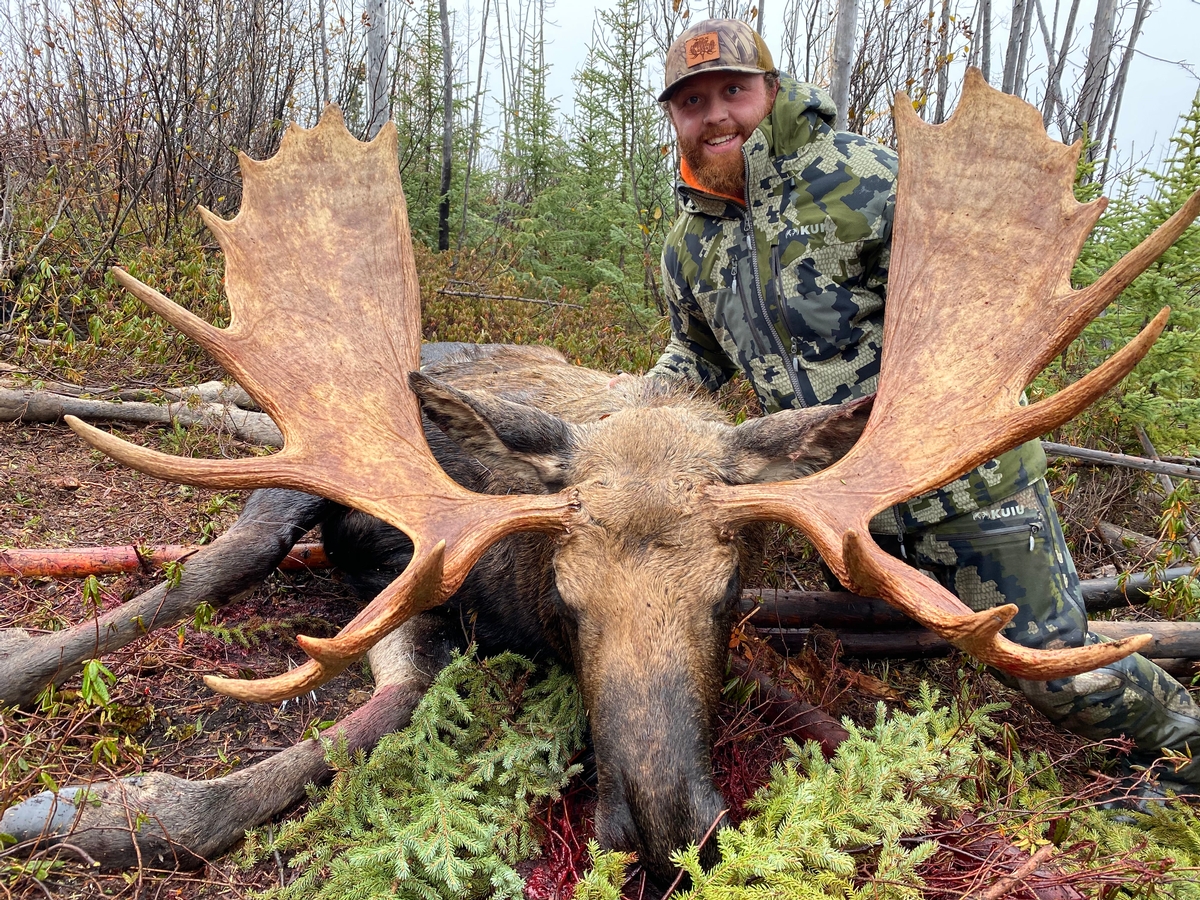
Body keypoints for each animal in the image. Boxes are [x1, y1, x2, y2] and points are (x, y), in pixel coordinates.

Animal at [2, 68, 1199, 884]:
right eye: (570, 602)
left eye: (728, 598)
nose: (667, 829)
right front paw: (96, 811)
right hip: (285, 480)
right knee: (210, 565)